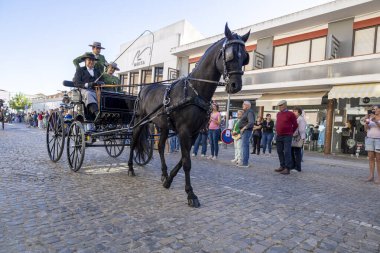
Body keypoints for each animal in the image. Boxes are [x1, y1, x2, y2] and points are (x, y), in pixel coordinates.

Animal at [128, 23, 249, 208]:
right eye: (230, 55)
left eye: (245, 58)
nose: (236, 85)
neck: (195, 91)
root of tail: (144, 88)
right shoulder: (184, 131)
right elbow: (186, 163)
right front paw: (191, 194)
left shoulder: (195, 132)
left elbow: (183, 159)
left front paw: (169, 180)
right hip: (140, 122)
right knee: (133, 141)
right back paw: (130, 168)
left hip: (163, 125)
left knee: (161, 146)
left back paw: (163, 174)